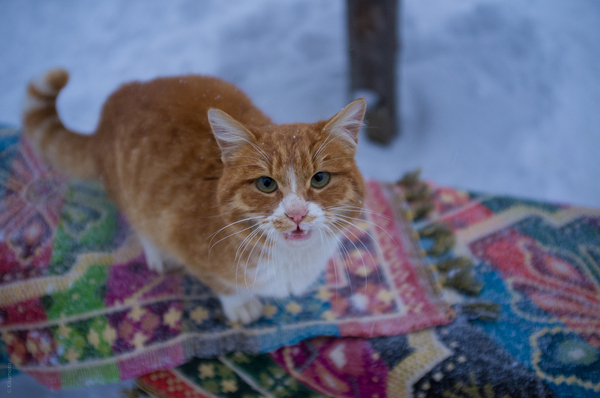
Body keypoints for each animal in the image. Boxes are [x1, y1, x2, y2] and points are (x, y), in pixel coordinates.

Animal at [22, 68, 366, 324]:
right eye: (266, 184)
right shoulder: (190, 249)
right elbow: (224, 286)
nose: (296, 213)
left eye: (320, 178)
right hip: (132, 199)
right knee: (140, 224)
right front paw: (241, 305)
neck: (291, 260)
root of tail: (117, 97)